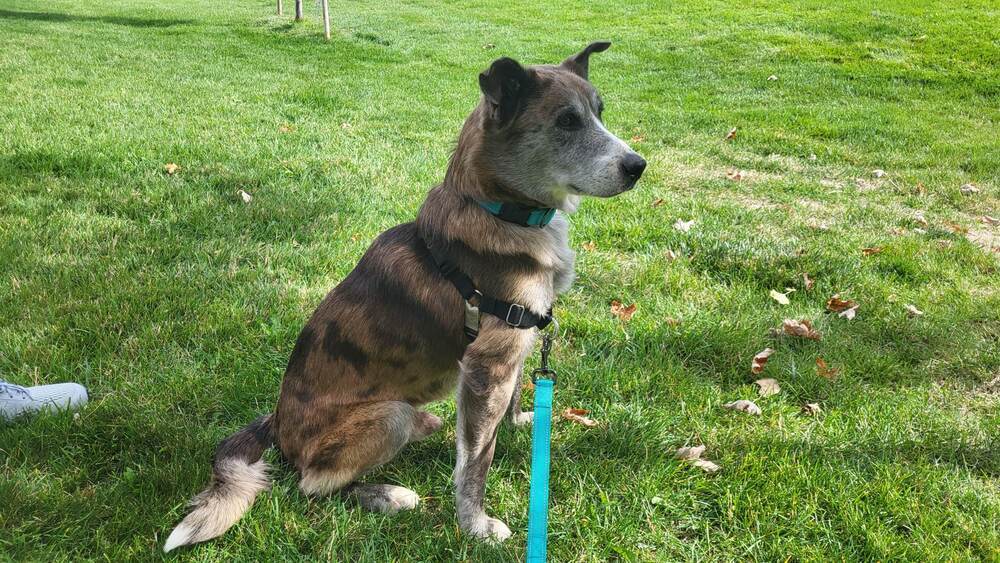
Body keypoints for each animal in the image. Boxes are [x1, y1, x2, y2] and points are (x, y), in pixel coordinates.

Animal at [162, 41, 648, 552]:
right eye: (566, 122)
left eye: (598, 113)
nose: (638, 166)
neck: (499, 209)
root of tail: (276, 423)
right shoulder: (486, 367)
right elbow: (476, 461)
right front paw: (475, 525)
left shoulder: (514, 345)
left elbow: (512, 401)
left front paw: (519, 424)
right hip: (387, 415)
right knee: (309, 484)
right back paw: (385, 495)